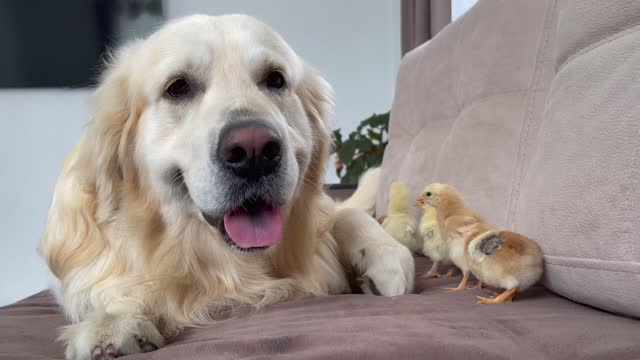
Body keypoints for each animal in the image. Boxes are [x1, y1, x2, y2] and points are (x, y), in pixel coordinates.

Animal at [38, 14, 416, 360]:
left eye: (275, 79)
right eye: (178, 86)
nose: (254, 152)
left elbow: (346, 215)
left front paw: (385, 256)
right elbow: (105, 289)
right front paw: (113, 321)